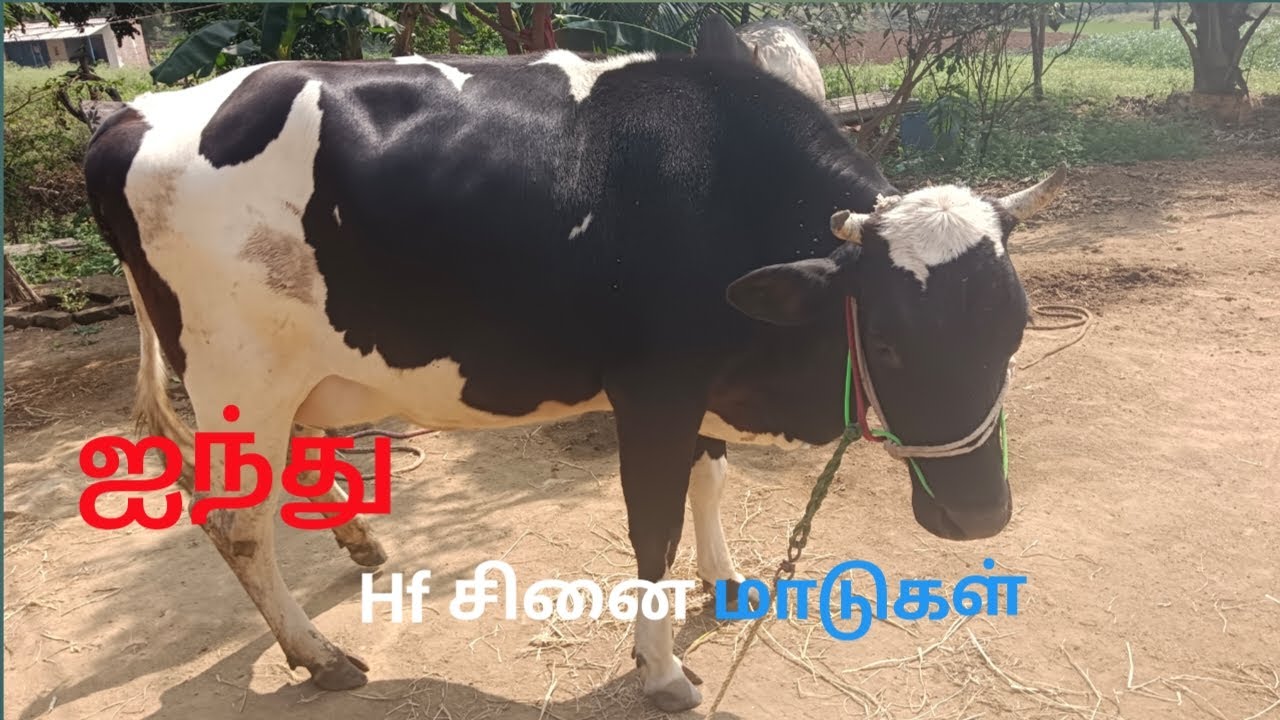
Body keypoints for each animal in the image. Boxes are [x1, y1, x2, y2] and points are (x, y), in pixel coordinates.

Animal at [82, 26, 1065, 713]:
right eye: (890, 340)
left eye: (1016, 332)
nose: (982, 516)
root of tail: (134, 114)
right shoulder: (654, 393)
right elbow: (652, 533)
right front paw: (661, 670)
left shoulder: (704, 385)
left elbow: (711, 482)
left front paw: (725, 581)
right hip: (236, 373)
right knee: (236, 521)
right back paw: (317, 657)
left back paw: (360, 545)